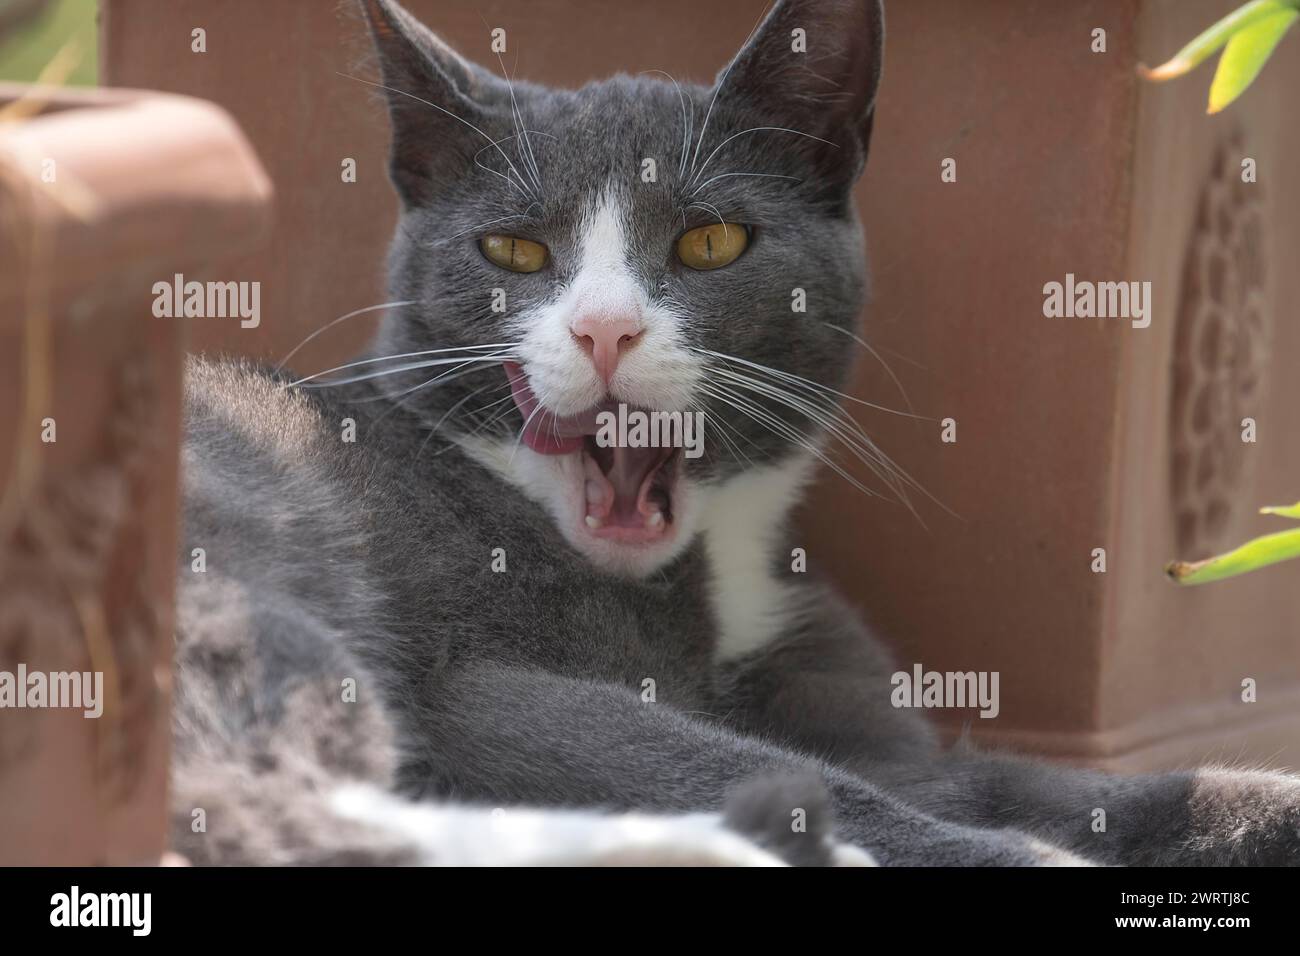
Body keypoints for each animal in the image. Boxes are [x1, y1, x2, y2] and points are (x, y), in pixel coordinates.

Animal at [170, 0, 1300, 868]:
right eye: (515, 249)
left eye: (710, 241)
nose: (604, 327)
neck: (713, 581)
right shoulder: (469, 679)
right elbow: (742, 763)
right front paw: (1022, 857)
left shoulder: (871, 721)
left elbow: (1028, 783)